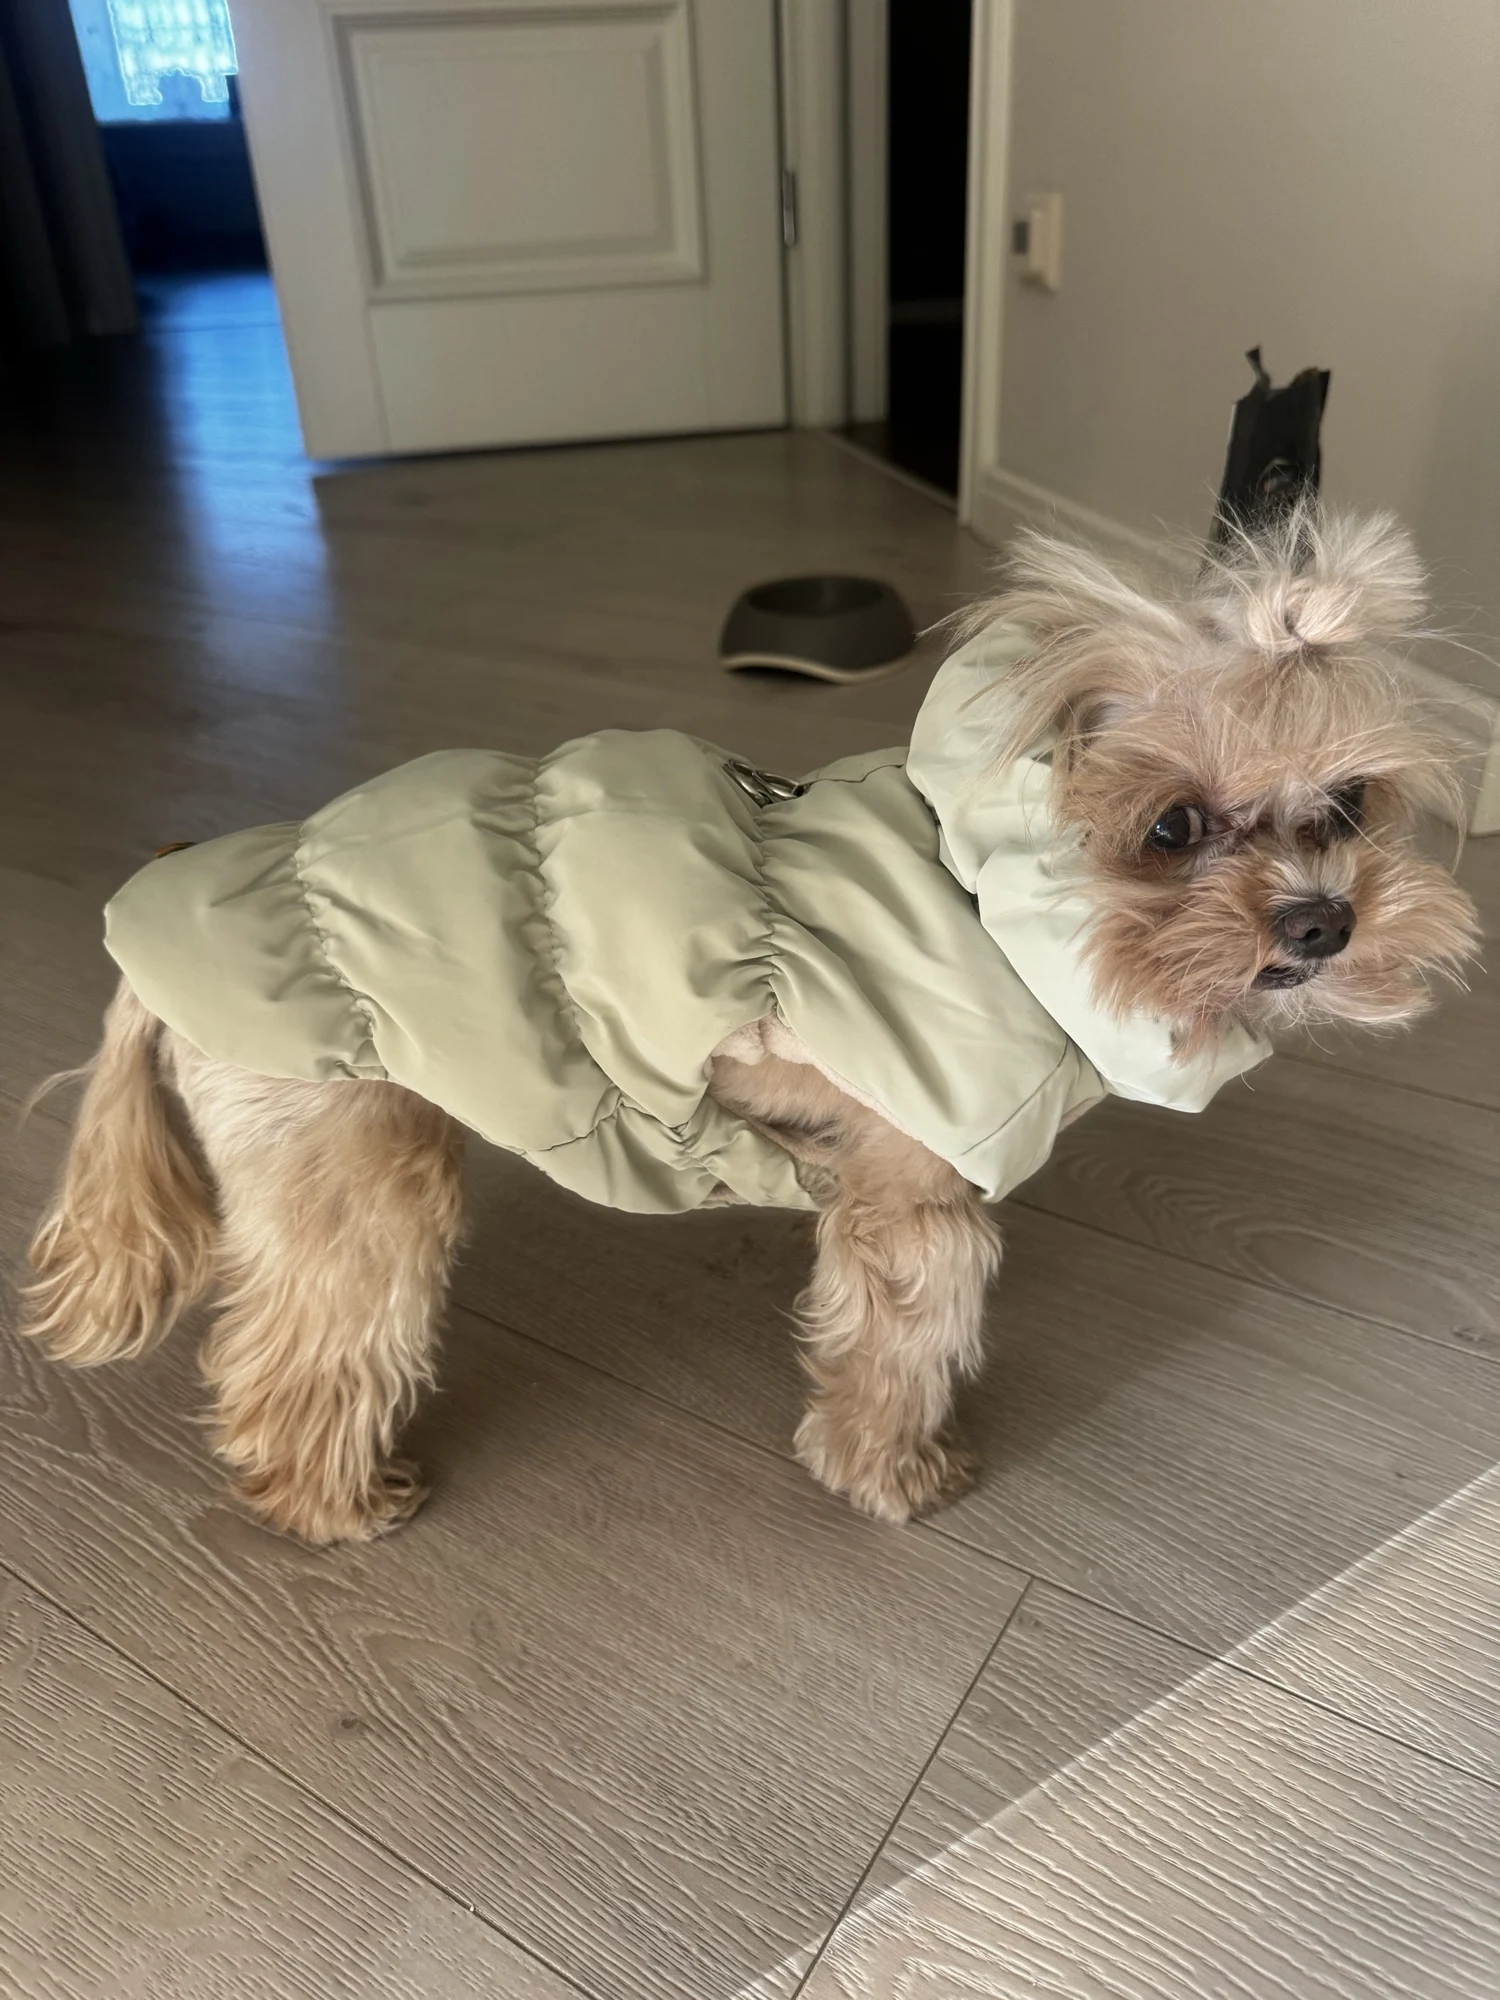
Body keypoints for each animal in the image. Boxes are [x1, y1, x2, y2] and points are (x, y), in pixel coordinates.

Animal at [20, 506, 1480, 1544]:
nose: (1322, 923)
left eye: (1350, 805)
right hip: (356, 1158)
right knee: (302, 1350)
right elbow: (904, 1338)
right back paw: (333, 1503)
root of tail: (153, 931)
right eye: (1171, 827)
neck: (990, 893)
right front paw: (897, 1473)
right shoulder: (913, 1197)